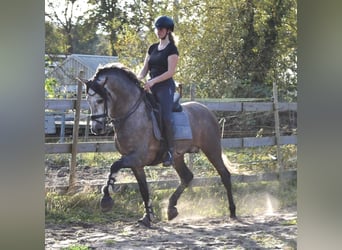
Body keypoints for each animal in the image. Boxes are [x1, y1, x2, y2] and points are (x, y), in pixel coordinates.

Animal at [83, 62, 235, 227]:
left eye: (100, 100)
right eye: (88, 101)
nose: (96, 128)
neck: (132, 114)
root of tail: (207, 110)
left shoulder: (138, 157)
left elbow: (114, 166)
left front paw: (106, 199)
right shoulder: (135, 163)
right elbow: (143, 189)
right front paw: (148, 216)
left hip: (212, 149)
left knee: (224, 175)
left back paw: (232, 211)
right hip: (177, 156)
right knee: (187, 176)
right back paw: (171, 209)